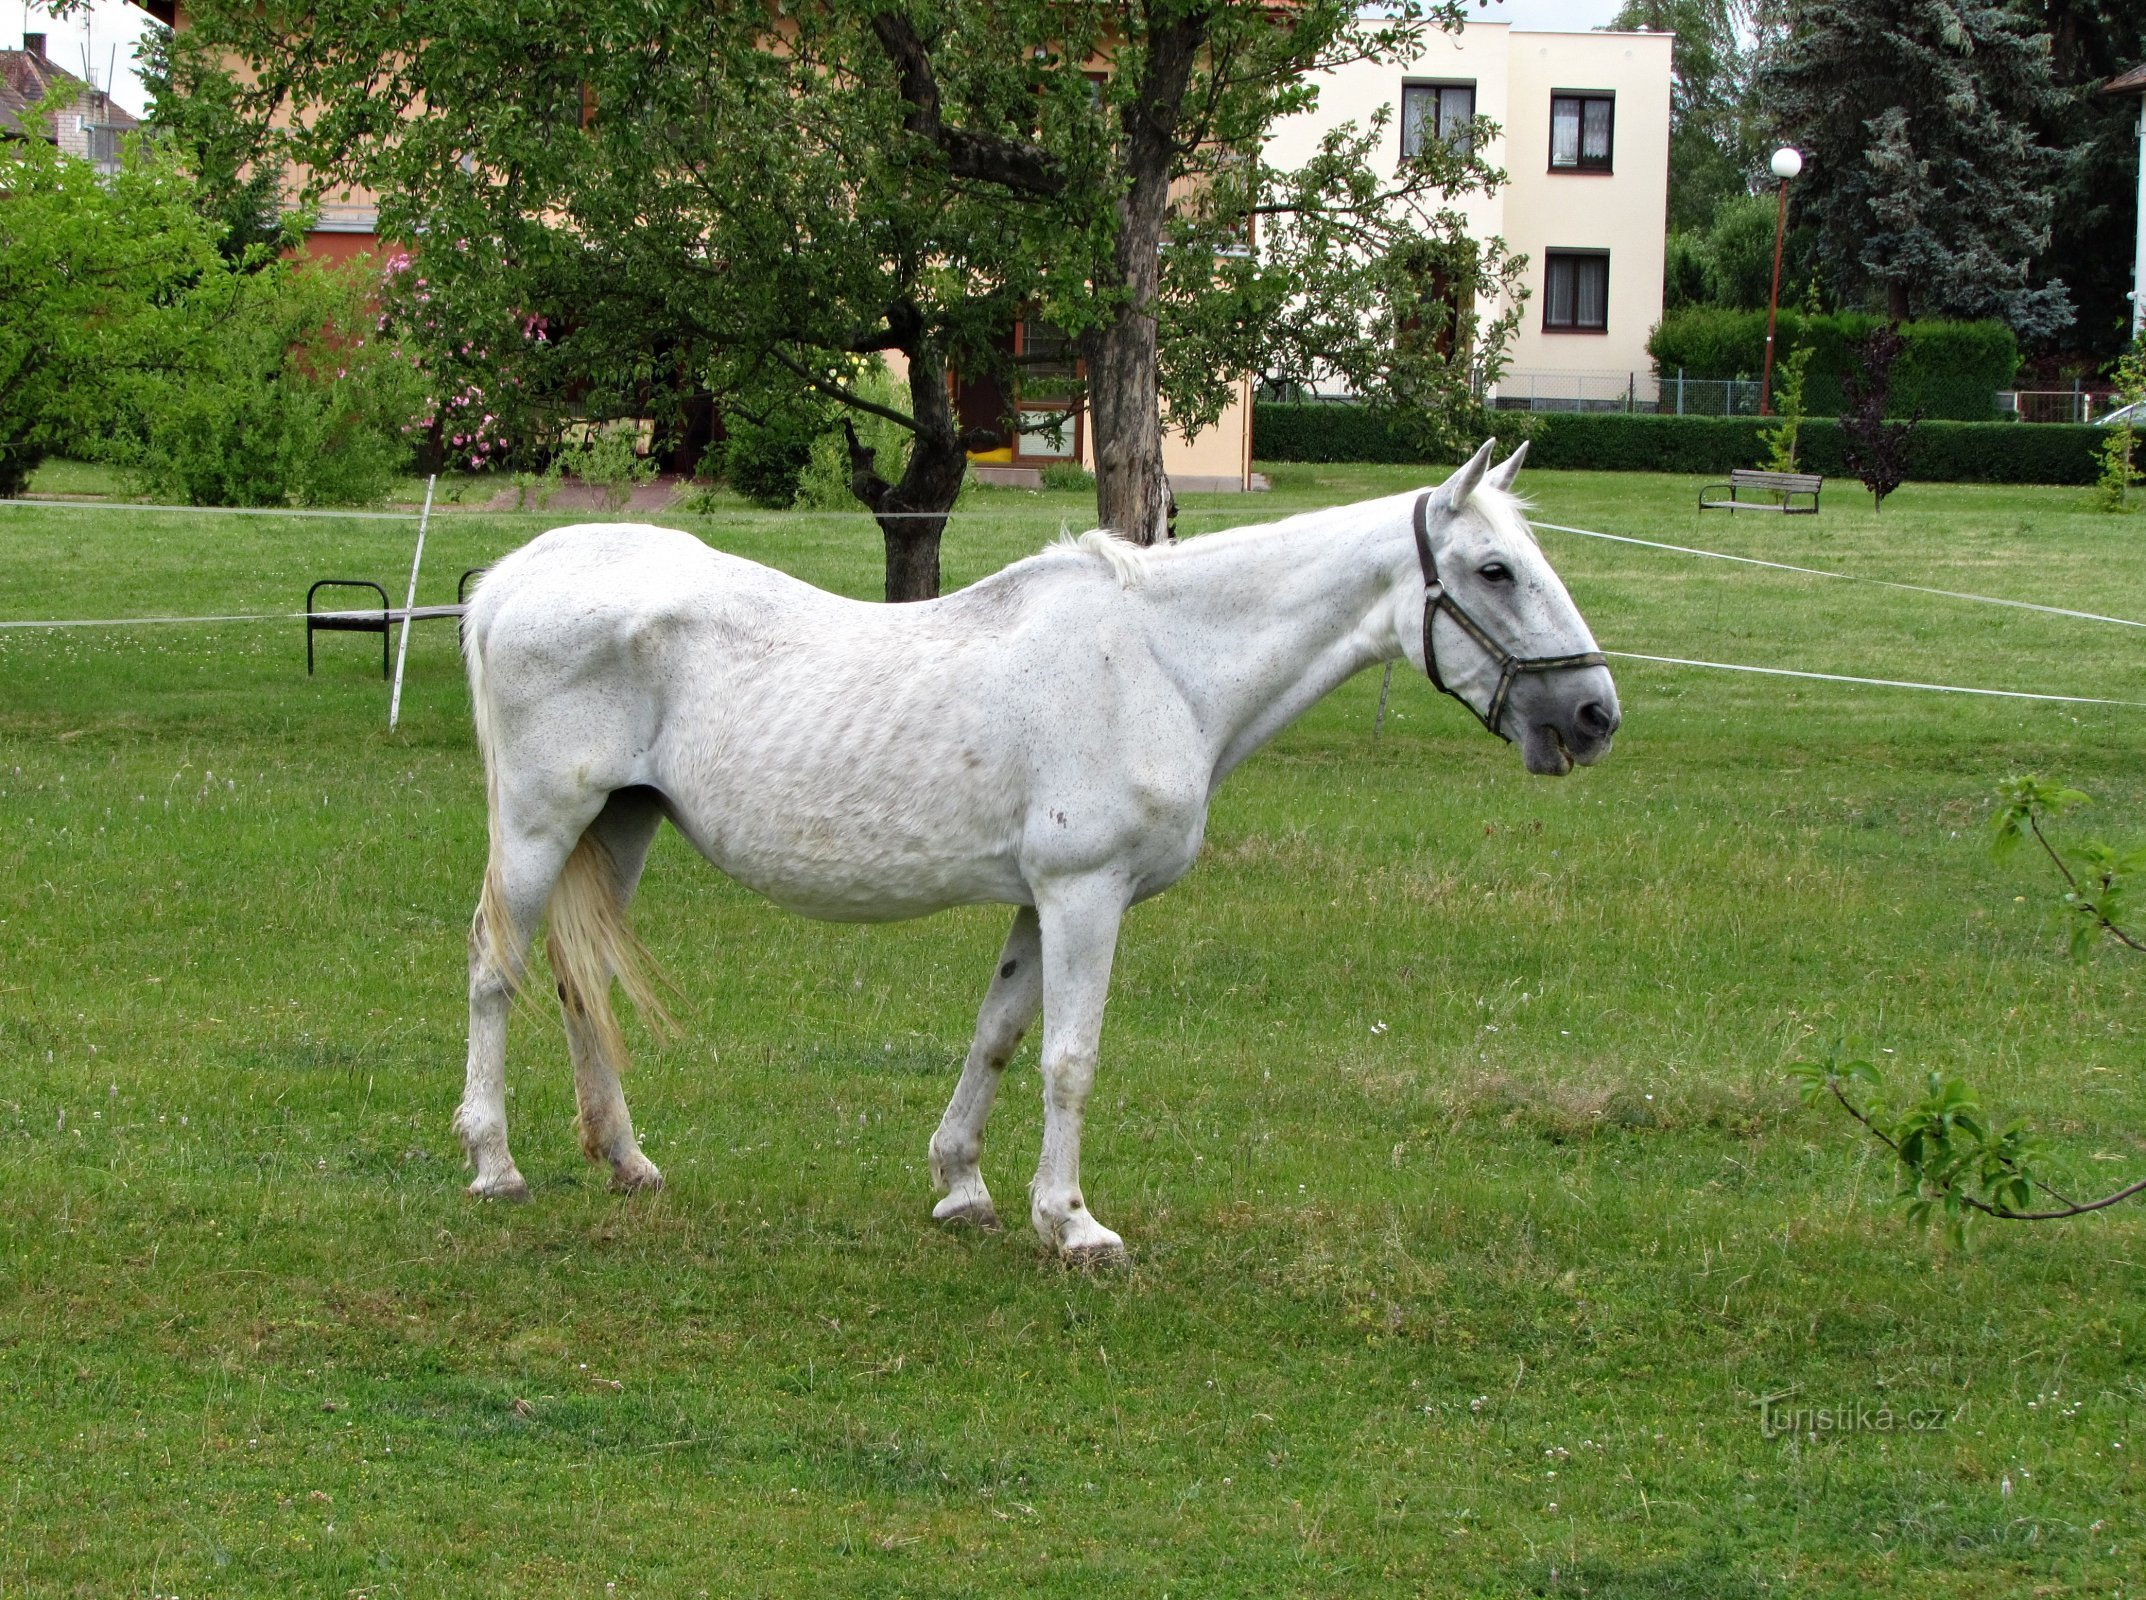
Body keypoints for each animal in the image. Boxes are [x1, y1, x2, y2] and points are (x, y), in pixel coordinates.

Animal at [461, 439, 1613, 1261]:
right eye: (1495, 569)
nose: (1594, 715)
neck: (1161, 662)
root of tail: (515, 574)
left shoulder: (1037, 901)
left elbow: (998, 1038)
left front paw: (961, 1186)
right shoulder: (1083, 894)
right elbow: (1070, 1057)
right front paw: (1070, 1221)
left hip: (620, 822)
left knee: (576, 980)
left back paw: (626, 1160)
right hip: (538, 829)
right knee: (494, 969)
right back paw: (494, 1164)